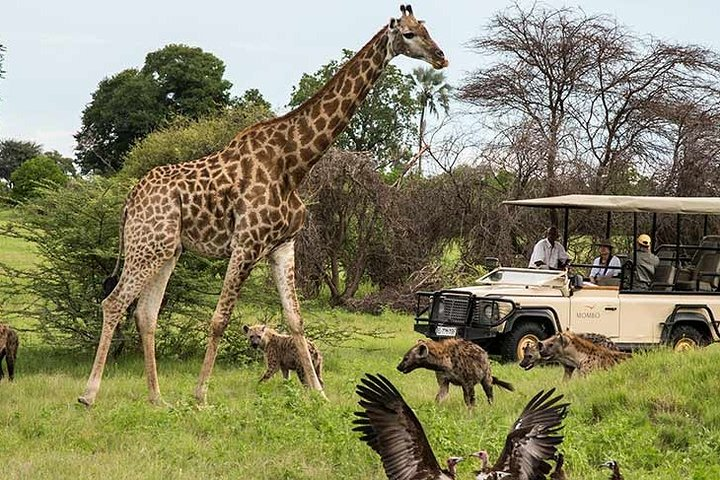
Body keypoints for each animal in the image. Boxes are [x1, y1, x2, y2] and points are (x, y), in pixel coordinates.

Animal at [80, 5, 450, 406]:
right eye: (409, 34)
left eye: (426, 29)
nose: (441, 57)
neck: (294, 164)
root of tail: (130, 199)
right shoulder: (246, 243)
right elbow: (220, 319)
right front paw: (201, 394)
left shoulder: (282, 246)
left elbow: (296, 320)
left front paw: (319, 394)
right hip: (146, 245)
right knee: (114, 303)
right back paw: (89, 394)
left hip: (167, 249)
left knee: (146, 314)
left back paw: (157, 399)